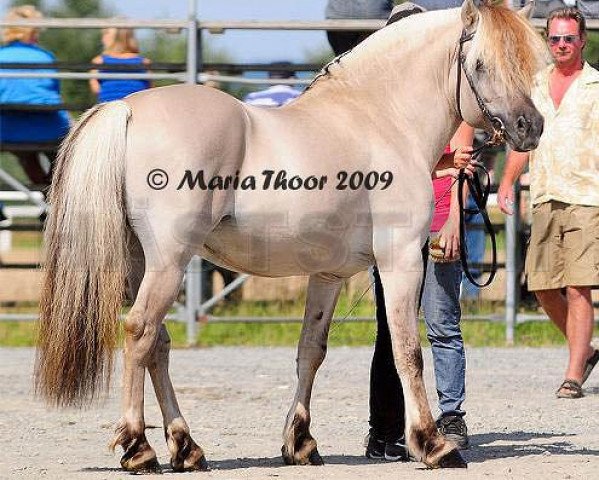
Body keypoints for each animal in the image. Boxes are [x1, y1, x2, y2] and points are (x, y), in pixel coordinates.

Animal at [32, 0, 548, 472]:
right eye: (480, 65)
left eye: (526, 63)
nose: (531, 128)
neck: (379, 119)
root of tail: (126, 111)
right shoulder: (400, 259)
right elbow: (407, 351)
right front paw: (433, 444)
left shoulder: (328, 274)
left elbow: (310, 351)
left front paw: (300, 443)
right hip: (169, 260)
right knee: (139, 332)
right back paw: (139, 448)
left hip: (145, 263)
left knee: (157, 344)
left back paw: (187, 448)